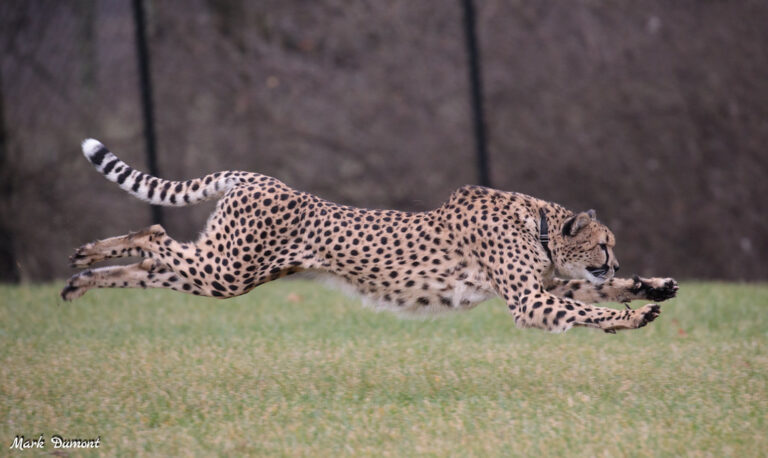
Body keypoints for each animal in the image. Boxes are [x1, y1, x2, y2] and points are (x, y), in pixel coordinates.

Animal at [62, 138, 678, 334]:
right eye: (605, 244)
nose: (614, 261)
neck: (540, 222)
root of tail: (256, 177)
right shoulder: (529, 299)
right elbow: (589, 308)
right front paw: (631, 317)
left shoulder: (546, 286)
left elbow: (591, 293)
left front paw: (651, 287)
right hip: (227, 268)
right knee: (154, 233)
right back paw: (89, 256)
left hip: (224, 272)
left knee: (149, 267)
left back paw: (80, 277)